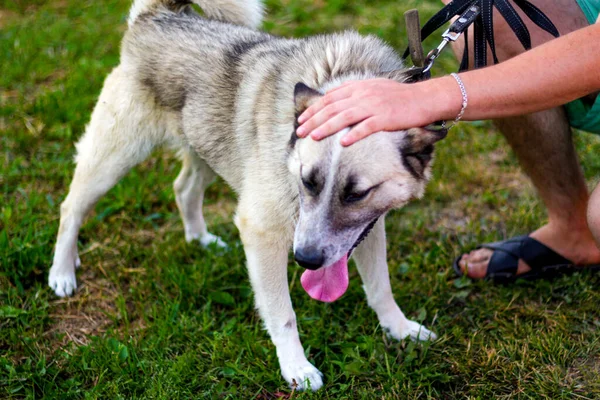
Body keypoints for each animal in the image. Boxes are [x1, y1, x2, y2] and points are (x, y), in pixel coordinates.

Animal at [49, 0, 442, 390]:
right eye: (307, 182)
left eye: (358, 194)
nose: (306, 260)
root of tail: (158, 15)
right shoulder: (262, 231)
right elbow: (283, 315)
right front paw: (296, 368)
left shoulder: (368, 231)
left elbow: (380, 288)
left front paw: (401, 329)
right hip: (115, 157)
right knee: (72, 207)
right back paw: (62, 272)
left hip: (209, 149)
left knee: (183, 188)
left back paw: (200, 240)